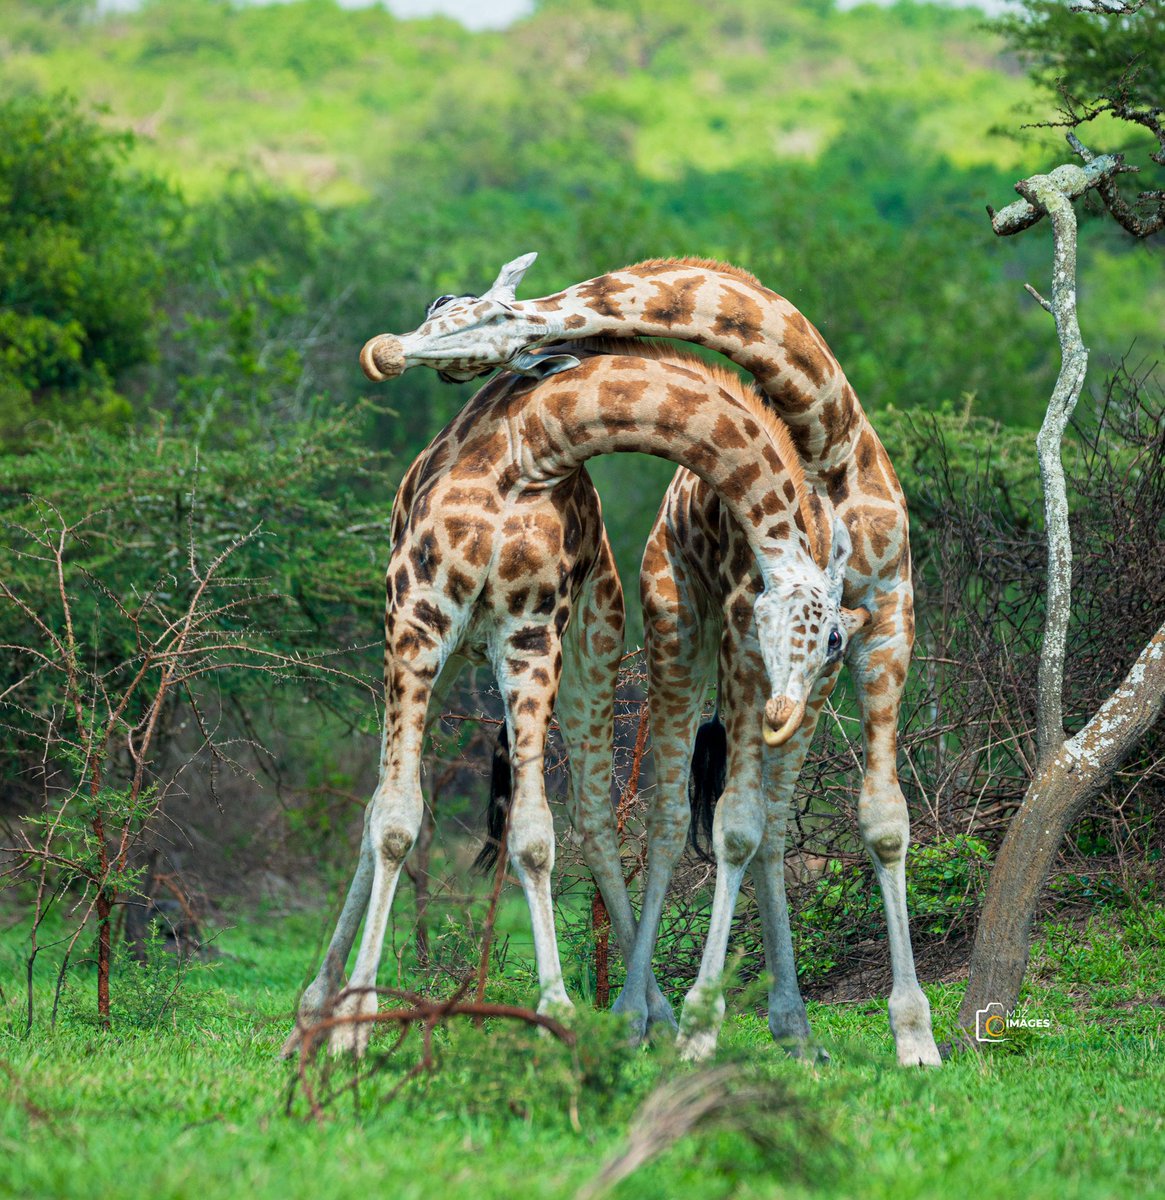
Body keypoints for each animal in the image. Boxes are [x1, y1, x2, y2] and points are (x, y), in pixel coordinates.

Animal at [286, 329, 861, 1056]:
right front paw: (354, 1023)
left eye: (833, 642)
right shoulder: (417, 620)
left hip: (591, 645)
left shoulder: (530, 635)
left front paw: (556, 1010)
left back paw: (653, 1015)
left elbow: (534, 833)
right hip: (441, 657)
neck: (525, 455)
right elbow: (393, 821)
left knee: (590, 817)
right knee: (379, 806)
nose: (784, 713)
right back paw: (315, 1008)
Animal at [357, 254, 943, 1067]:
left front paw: (916, 1037)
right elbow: (725, 824)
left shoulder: (884, 626)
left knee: (754, 814)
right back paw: (643, 1014)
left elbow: (880, 820)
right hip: (649, 634)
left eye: (487, 316)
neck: (832, 445)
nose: (386, 351)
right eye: (439, 304)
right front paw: (695, 1024)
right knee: (658, 816)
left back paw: (782, 1028)